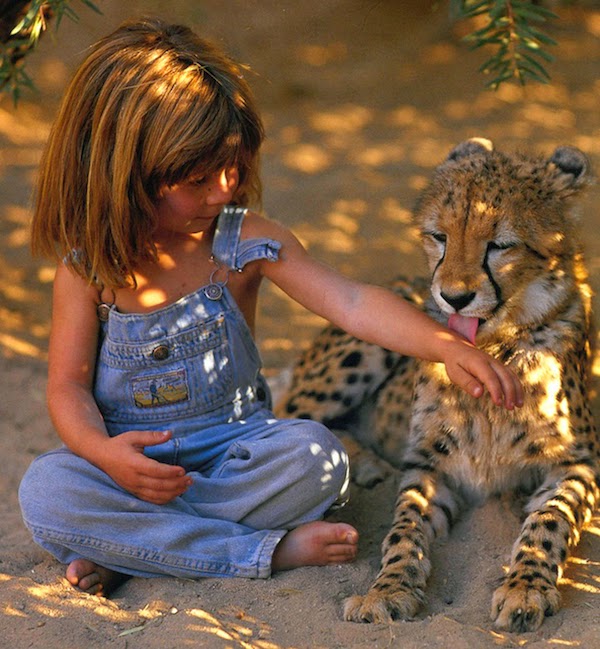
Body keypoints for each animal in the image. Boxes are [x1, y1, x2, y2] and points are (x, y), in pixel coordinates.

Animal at [278, 139, 600, 632]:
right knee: (288, 417)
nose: (454, 297)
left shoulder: (578, 464)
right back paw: (366, 465)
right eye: (439, 237)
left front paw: (526, 586)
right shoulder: (429, 466)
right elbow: (403, 528)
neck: (491, 352)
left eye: (500, 244)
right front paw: (387, 589)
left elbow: (550, 519)